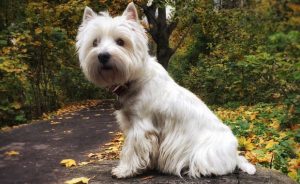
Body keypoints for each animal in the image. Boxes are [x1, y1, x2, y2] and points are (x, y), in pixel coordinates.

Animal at [75, 2, 255, 179]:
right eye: (95, 42)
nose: (102, 56)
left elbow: (131, 150)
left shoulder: (141, 126)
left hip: (206, 152)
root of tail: (234, 154)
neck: (134, 79)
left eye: (120, 41)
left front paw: (124, 170)